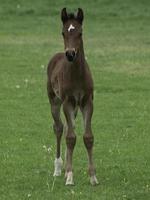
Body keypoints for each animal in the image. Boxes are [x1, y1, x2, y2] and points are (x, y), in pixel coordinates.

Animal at [47, 7, 98, 186]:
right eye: (63, 32)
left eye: (80, 33)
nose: (70, 54)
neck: (77, 75)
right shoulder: (67, 102)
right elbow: (70, 138)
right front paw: (69, 176)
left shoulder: (87, 102)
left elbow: (88, 137)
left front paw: (93, 177)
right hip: (54, 102)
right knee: (59, 128)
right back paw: (58, 168)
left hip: (75, 108)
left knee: (70, 127)